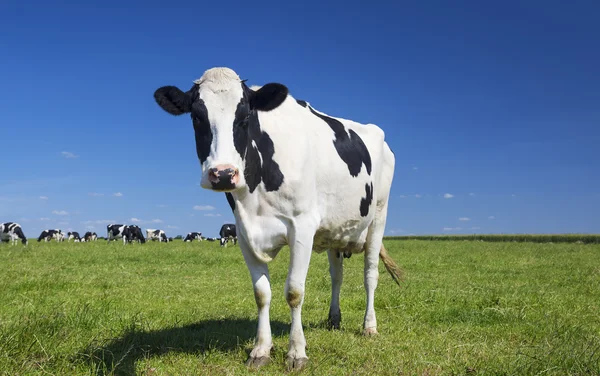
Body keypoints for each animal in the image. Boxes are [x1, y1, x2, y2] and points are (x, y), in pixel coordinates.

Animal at [154, 65, 404, 370]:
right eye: (196, 117)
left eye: (245, 117)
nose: (223, 174)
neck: (254, 197)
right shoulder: (243, 233)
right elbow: (262, 294)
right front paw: (261, 349)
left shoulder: (302, 227)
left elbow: (294, 292)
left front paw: (297, 352)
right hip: (335, 231)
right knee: (337, 276)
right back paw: (334, 318)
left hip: (378, 216)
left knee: (370, 274)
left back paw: (369, 326)